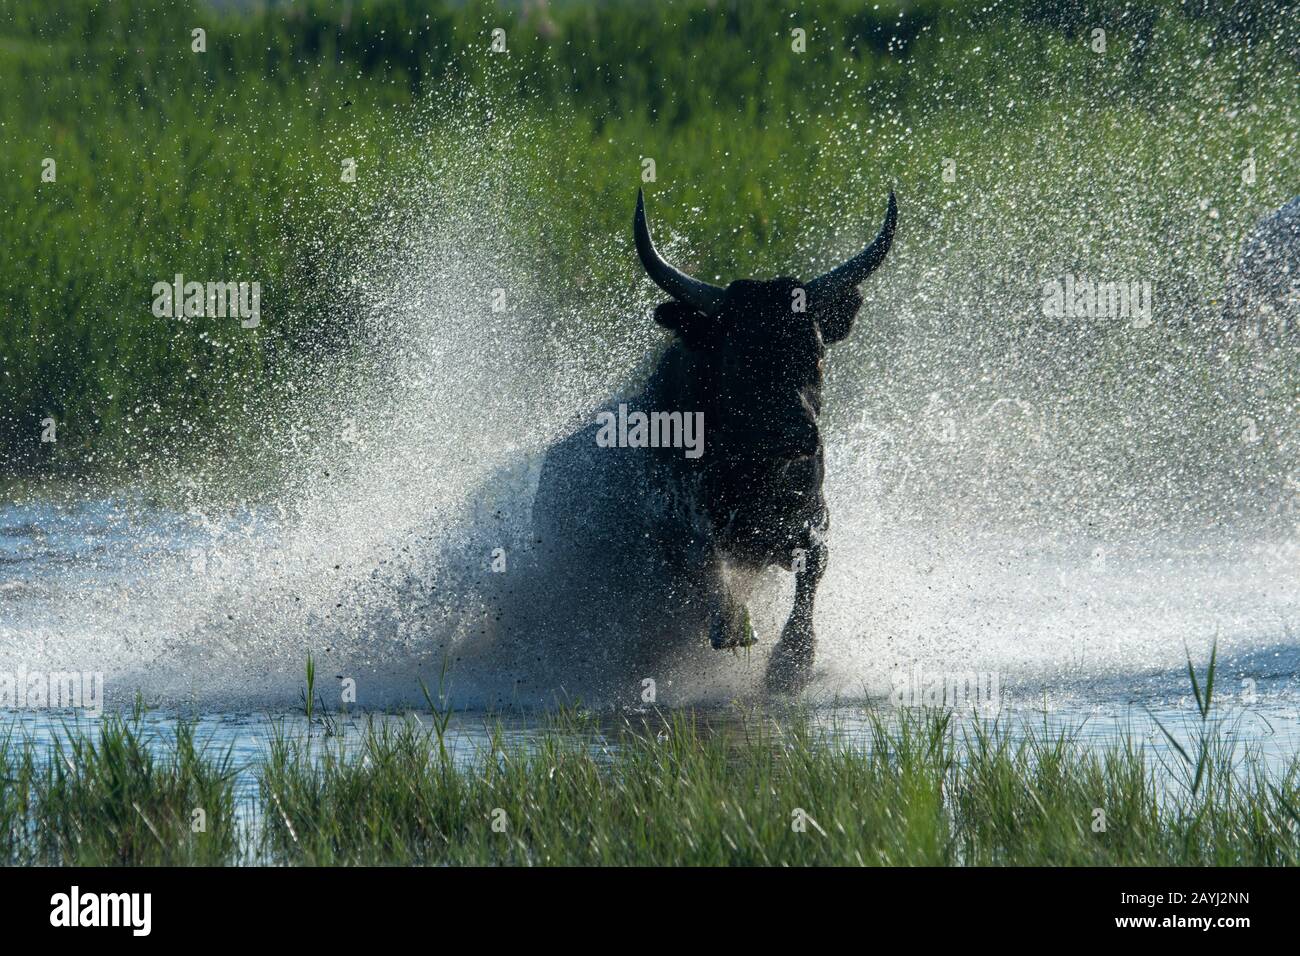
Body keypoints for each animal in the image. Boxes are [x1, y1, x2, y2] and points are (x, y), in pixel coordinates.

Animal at [517, 191, 894, 697]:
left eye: (813, 352)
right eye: (741, 356)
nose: (798, 432)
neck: (750, 472)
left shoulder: (811, 517)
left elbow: (813, 565)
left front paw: (792, 663)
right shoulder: (679, 527)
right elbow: (707, 561)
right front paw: (732, 624)